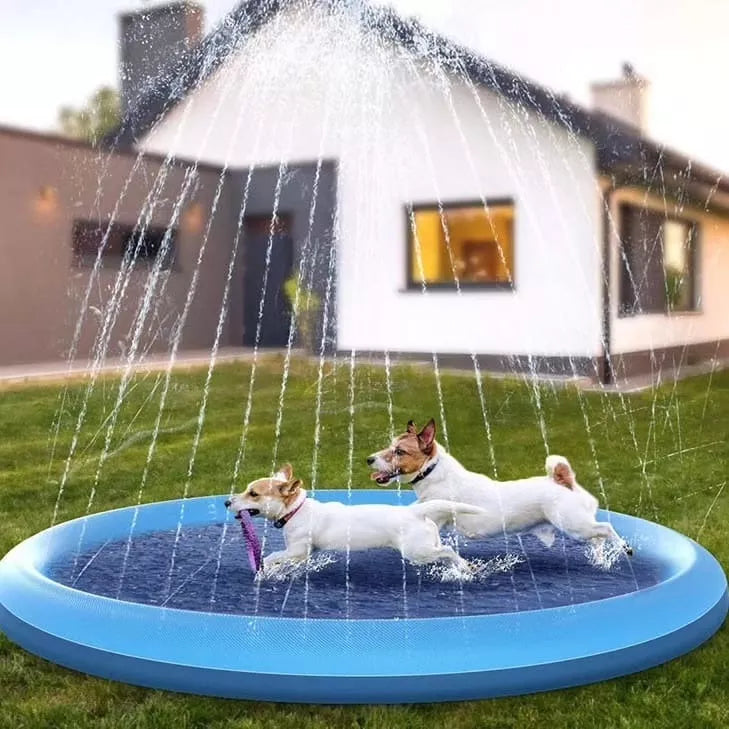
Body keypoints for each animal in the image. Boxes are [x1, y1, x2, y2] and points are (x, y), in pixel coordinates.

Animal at [366, 418, 628, 556]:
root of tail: (564, 481)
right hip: (579, 525)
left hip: (573, 523)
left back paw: (624, 547)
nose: (369, 459)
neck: (433, 472)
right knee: (597, 536)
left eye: (399, 452)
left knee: (605, 528)